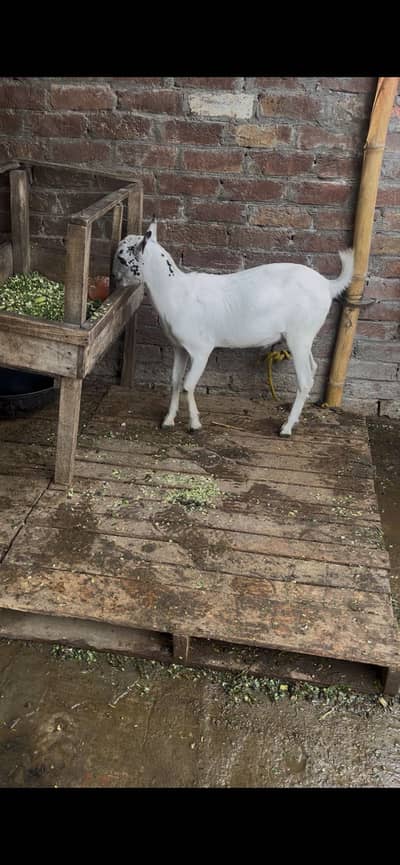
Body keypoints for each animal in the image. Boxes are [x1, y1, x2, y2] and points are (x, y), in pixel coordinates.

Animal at [113, 220, 354, 437]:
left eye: (122, 259)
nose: (115, 278)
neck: (176, 292)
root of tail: (328, 285)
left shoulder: (201, 348)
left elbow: (188, 385)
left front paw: (194, 425)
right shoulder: (179, 347)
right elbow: (174, 381)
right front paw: (168, 420)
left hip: (299, 334)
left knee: (305, 380)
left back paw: (286, 428)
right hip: (304, 336)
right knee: (313, 367)